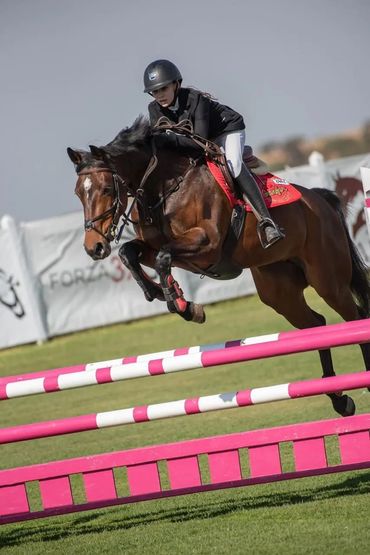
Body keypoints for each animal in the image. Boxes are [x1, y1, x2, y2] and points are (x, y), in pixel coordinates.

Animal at [68, 115, 370, 416]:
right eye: (78, 194)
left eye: (107, 189)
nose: (94, 247)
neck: (164, 187)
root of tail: (321, 200)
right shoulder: (161, 249)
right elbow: (129, 253)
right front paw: (166, 295)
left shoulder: (206, 243)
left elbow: (164, 258)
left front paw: (181, 304)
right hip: (280, 293)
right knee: (317, 326)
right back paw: (339, 398)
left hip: (328, 281)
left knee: (354, 317)